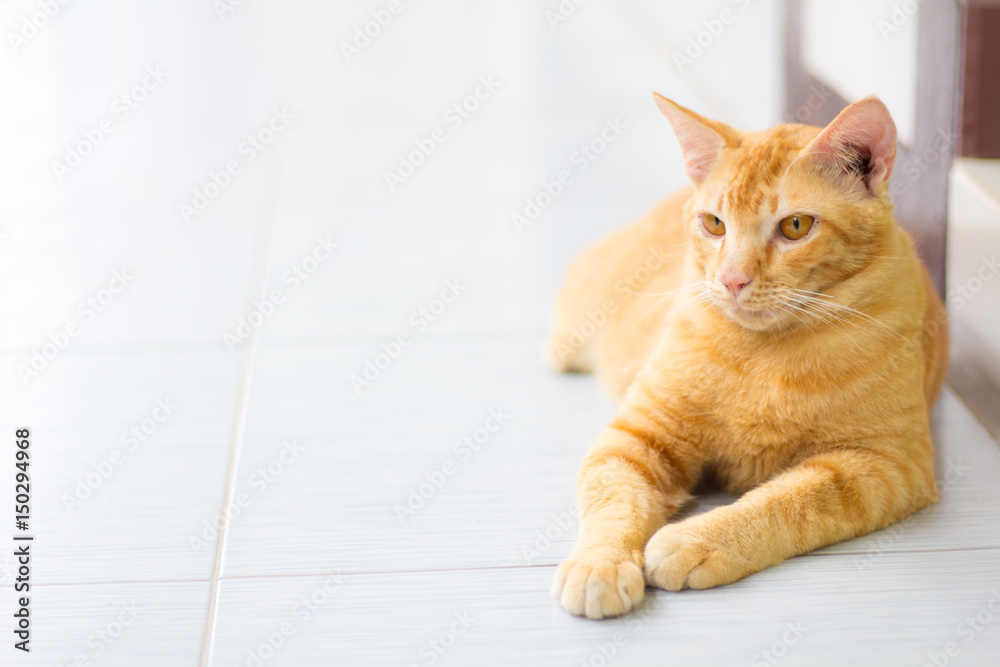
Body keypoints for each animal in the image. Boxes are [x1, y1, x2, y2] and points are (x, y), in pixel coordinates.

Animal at [552, 94, 948, 620]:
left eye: (795, 226)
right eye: (714, 224)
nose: (732, 280)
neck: (766, 354)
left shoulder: (886, 465)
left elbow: (790, 500)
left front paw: (696, 540)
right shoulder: (639, 436)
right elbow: (614, 497)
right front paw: (598, 563)